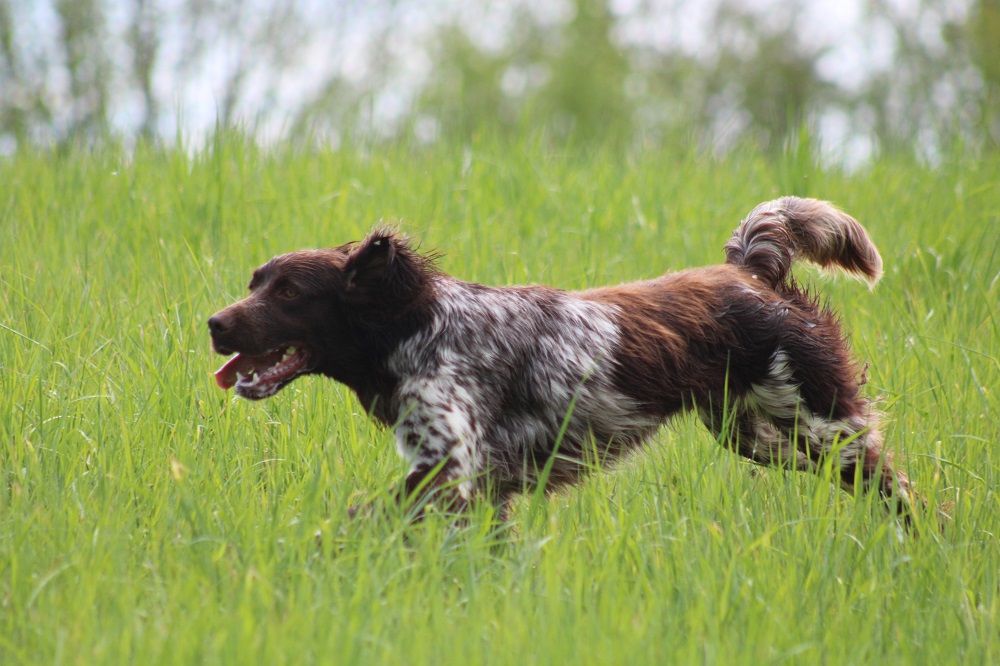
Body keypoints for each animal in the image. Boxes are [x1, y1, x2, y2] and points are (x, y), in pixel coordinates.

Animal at [209, 197, 916, 520]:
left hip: (825, 426)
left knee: (902, 491)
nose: (214, 325)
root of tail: (752, 274)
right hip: (758, 436)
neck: (417, 326)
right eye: (255, 282)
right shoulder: (480, 487)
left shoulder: (448, 468)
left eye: (289, 292)